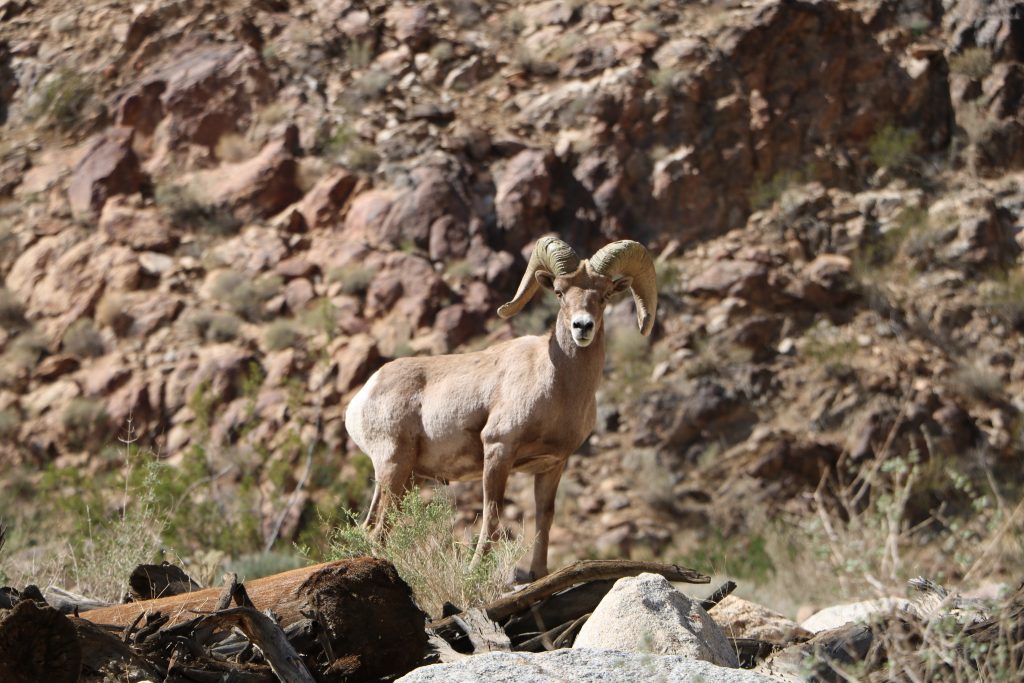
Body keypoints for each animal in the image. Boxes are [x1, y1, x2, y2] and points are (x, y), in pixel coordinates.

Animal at [344, 237, 657, 578]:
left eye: (604, 295)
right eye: (559, 292)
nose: (582, 327)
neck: (558, 385)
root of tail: (363, 396)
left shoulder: (551, 466)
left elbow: (544, 518)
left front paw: (538, 574)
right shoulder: (498, 449)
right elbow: (492, 515)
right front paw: (474, 571)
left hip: (405, 476)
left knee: (372, 528)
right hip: (393, 465)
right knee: (377, 531)